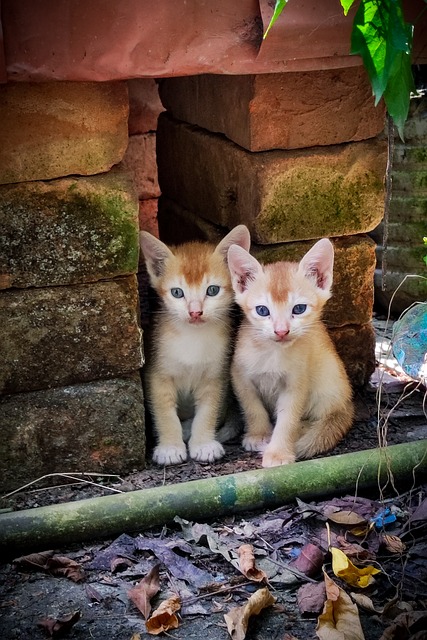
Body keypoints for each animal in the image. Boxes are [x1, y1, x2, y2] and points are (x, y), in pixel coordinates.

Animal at [139, 225, 252, 464]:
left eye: (212, 290)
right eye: (177, 292)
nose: (195, 312)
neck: (193, 338)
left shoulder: (216, 377)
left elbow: (207, 412)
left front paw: (203, 444)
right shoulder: (157, 375)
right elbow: (164, 413)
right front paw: (170, 447)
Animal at [227, 238, 354, 468]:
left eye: (299, 309)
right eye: (262, 310)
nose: (281, 331)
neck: (273, 353)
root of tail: (347, 406)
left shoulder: (296, 384)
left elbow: (287, 421)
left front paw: (278, 453)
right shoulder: (239, 376)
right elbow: (252, 407)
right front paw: (258, 434)